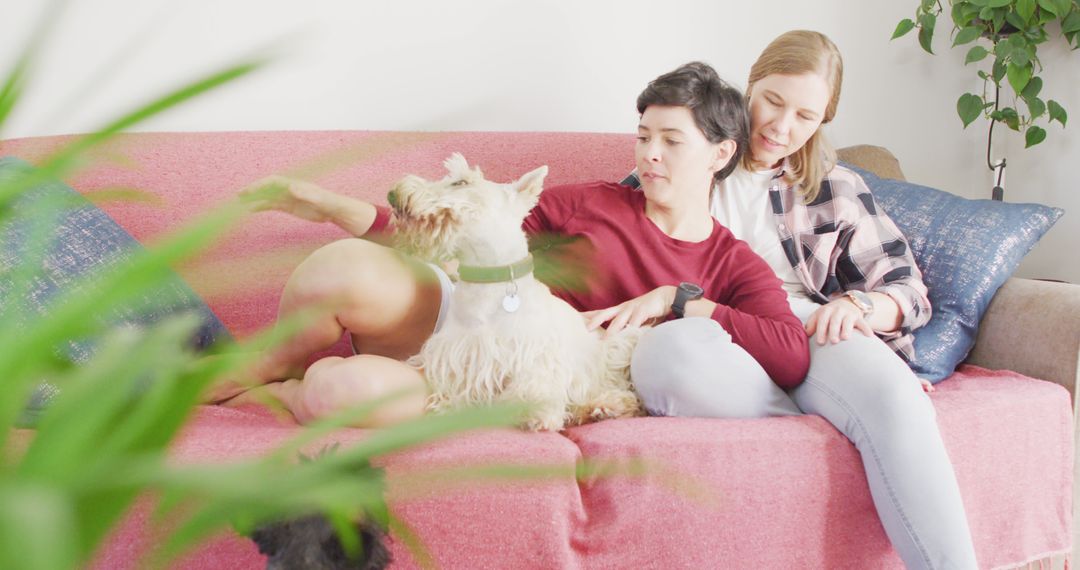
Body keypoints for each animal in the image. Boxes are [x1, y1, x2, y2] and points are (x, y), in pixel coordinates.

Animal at [388, 153, 639, 429]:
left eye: (461, 182)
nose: (393, 194)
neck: (489, 282)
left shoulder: (536, 356)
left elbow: (535, 385)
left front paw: (535, 411)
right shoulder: (455, 354)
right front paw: (447, 406)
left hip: (621, 342)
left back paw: (608, 406)